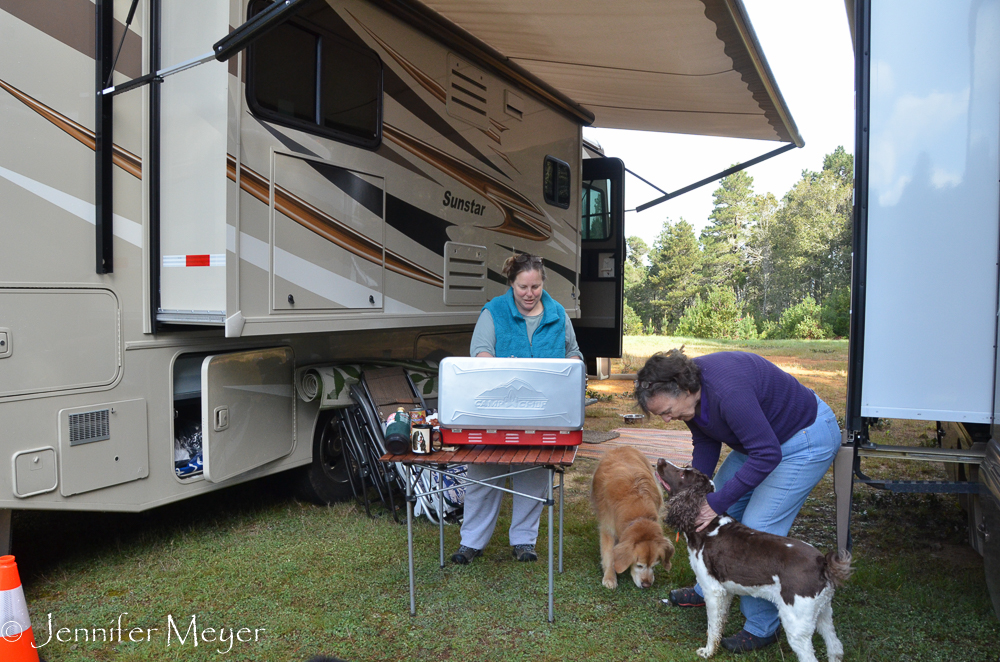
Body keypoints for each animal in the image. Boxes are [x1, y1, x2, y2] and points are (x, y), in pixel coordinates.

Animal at [588, 448, 676, 588]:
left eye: (654, 565)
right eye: (639, 565)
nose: (646, 585)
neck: (639, 516)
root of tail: (624, 447)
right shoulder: (608, 528)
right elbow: (608, 554)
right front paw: (610, 577)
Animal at [656, 460, 852, 662]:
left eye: (682, 475)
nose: (660, 461)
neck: (708, 527)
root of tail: (822, 562)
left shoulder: (713, 590)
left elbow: (712, 627)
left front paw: (708, 652)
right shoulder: (725, 591)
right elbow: (719, 623)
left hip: (796, 621)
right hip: (823, 611)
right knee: (835, 647)